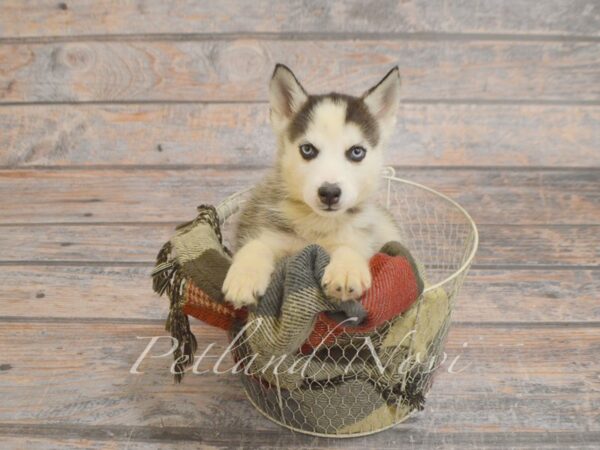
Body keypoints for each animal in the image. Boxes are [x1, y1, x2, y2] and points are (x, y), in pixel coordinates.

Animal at [223, 63, 400, 310]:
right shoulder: (268, 229)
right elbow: (257, 244)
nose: (329, 192)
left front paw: (346, 269)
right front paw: (245, 276)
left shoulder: (364, 238)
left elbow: (352, 246)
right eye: (307, 149)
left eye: (357, 152)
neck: (318, 223)